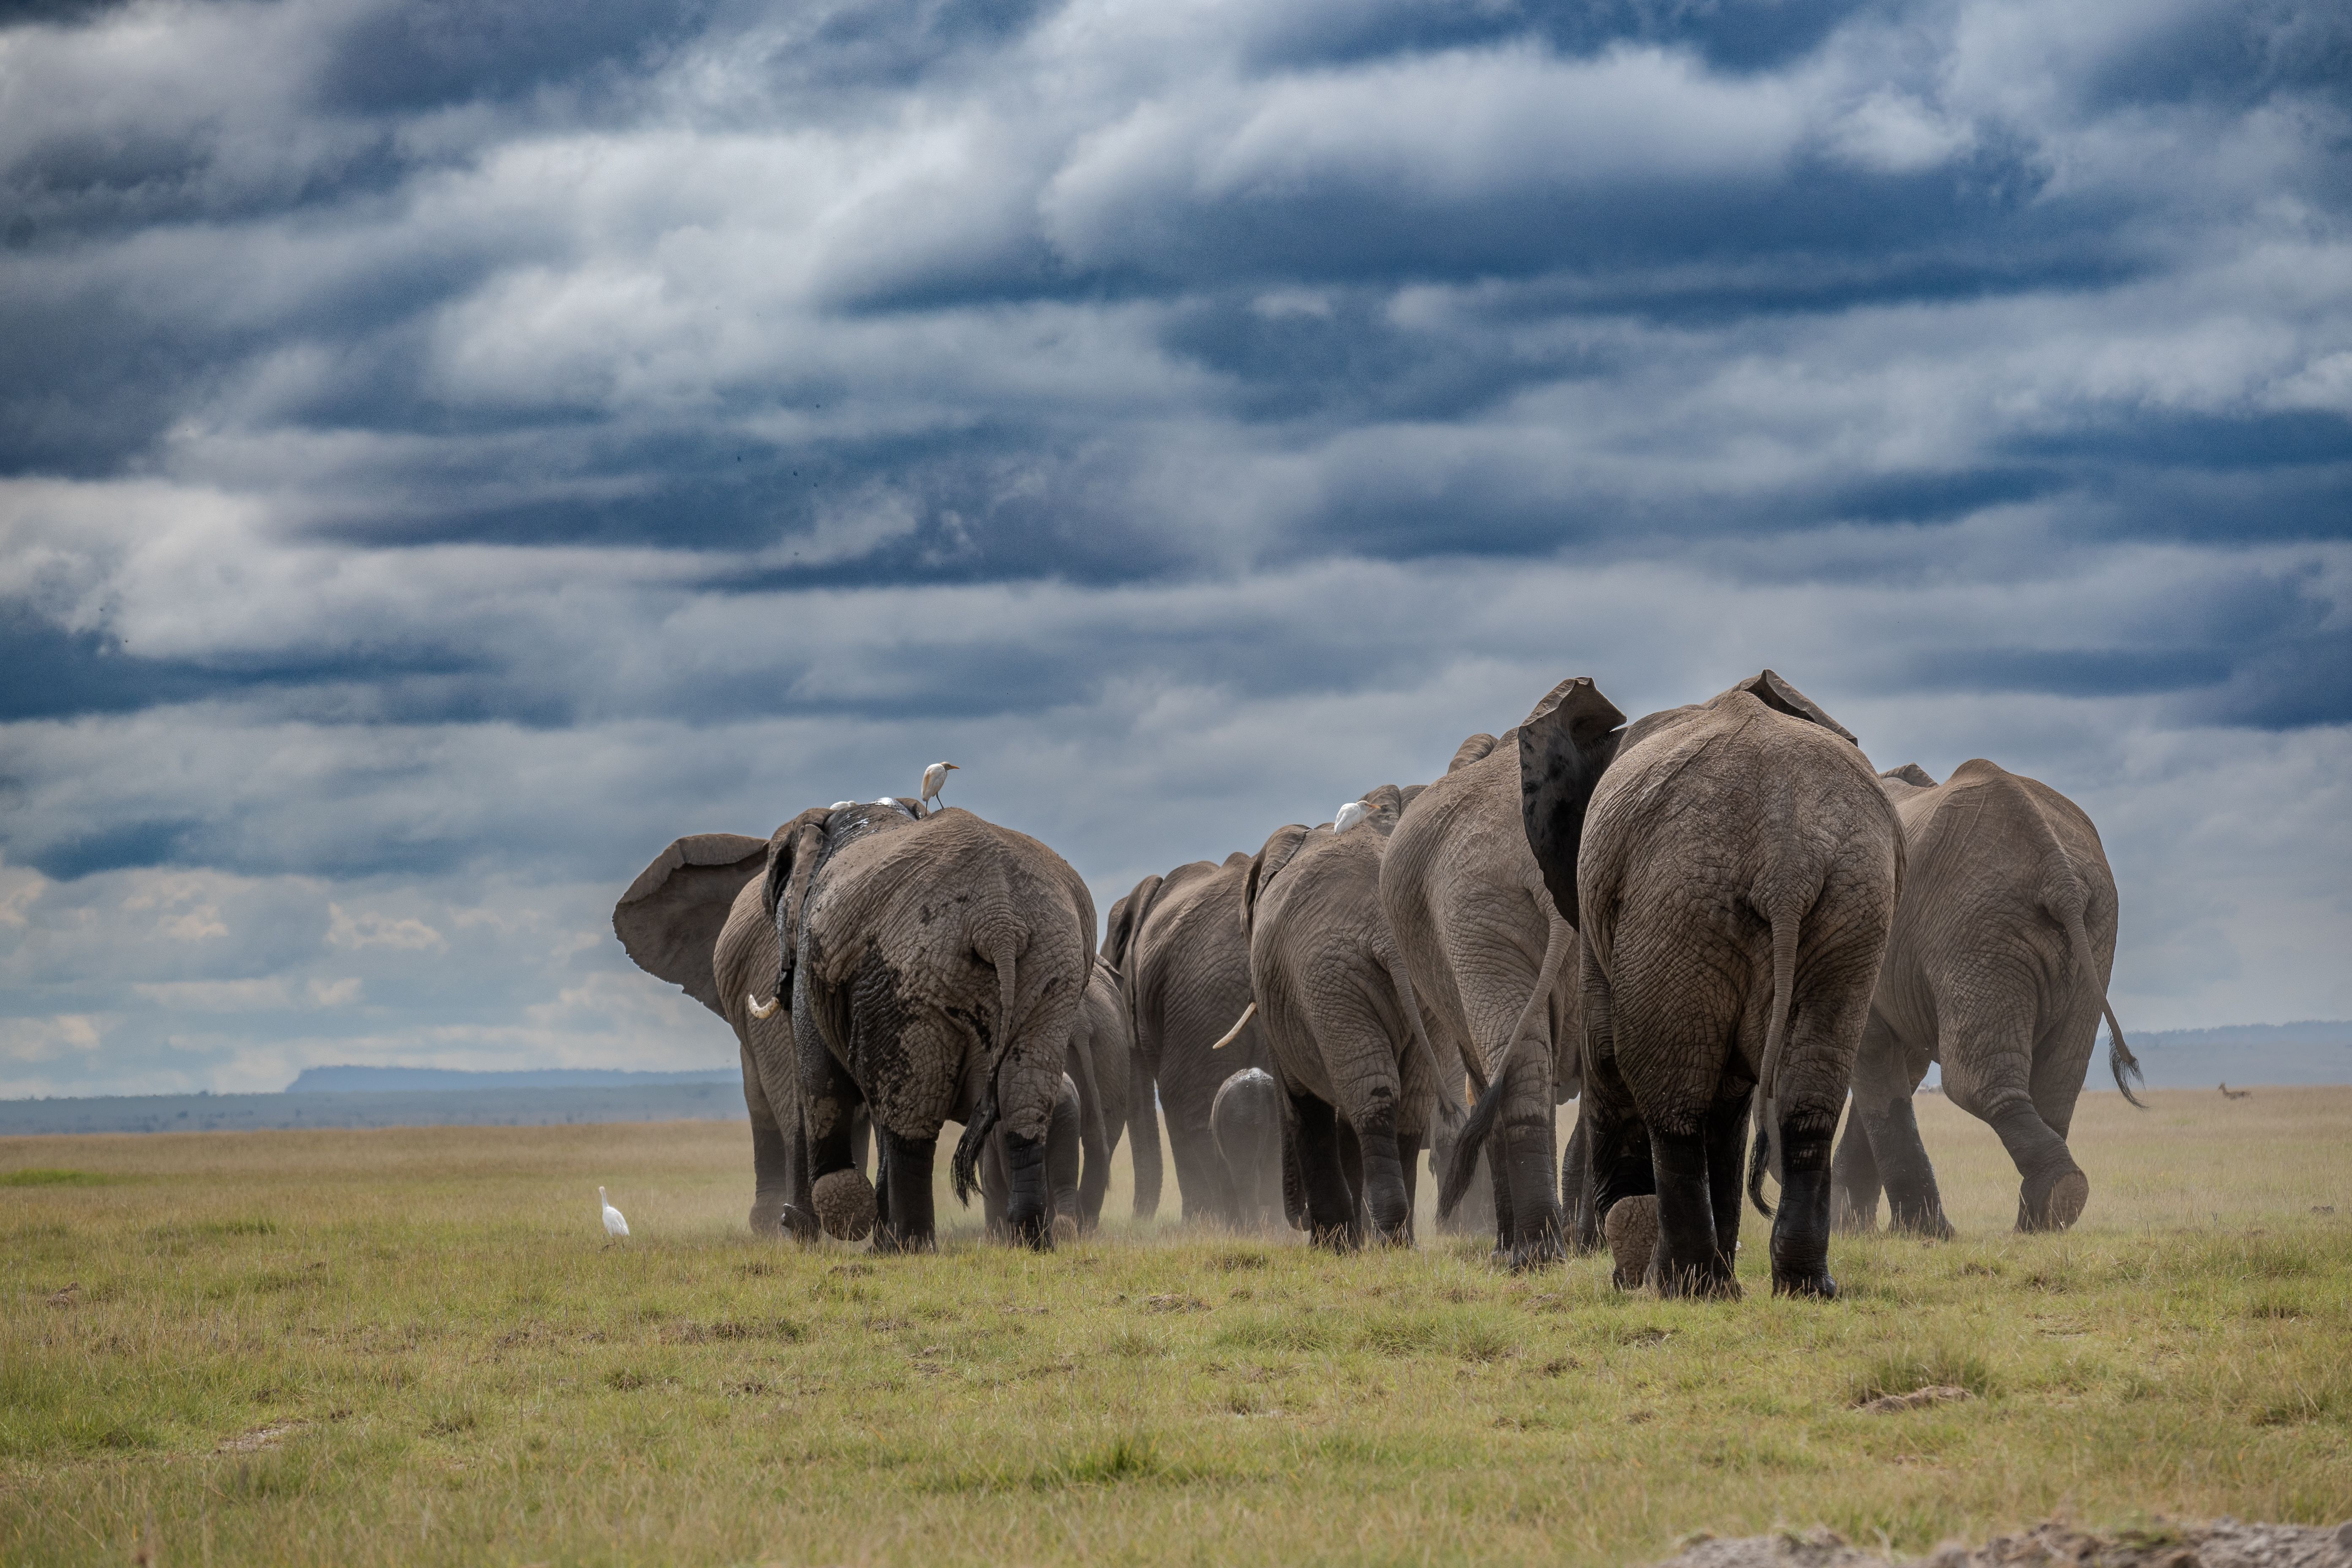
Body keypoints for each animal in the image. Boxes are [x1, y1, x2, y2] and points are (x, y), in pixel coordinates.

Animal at [765, 797, 1096, 1252]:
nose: (787, 1218)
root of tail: (999, 919)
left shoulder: (817, 963)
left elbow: (821, 1079)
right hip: (1052, 970)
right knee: (1024, 1102)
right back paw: (1029, 1242)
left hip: (911, 969)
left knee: (911, 1113)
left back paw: (909, 1247)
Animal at [1240, 785, 1456, 1249]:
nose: (1299, 1220)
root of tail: (1387, 932)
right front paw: (1348, 1241)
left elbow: (1304, 1102)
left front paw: (1333, 1245)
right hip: (1410, 989)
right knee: (1405, 1102)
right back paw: (1398, 1240)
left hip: (1329, 980)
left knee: (1368, 1095)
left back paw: (1379, 1234)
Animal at [1515, 672, 1904, 1298]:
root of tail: (1787, 860)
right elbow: (1731, 1098)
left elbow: (1606, 1053)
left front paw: (1629, 1276)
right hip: (1849, 905)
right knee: (1808, 1095)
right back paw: (1801, 1287)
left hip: (1678, 898)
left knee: (1672, 1101)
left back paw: (1682, 1285)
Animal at [1832, 759, 2142, 1237]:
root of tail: (2060, 874)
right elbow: (1899, 1066)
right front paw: (1854, 1230)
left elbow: (1876, 1055)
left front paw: (1912, 1236)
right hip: (2090, 933)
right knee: (2057, 1086)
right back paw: (2045, 1218)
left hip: (1976, 932)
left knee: (1974, 1081)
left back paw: (2048, 1206)